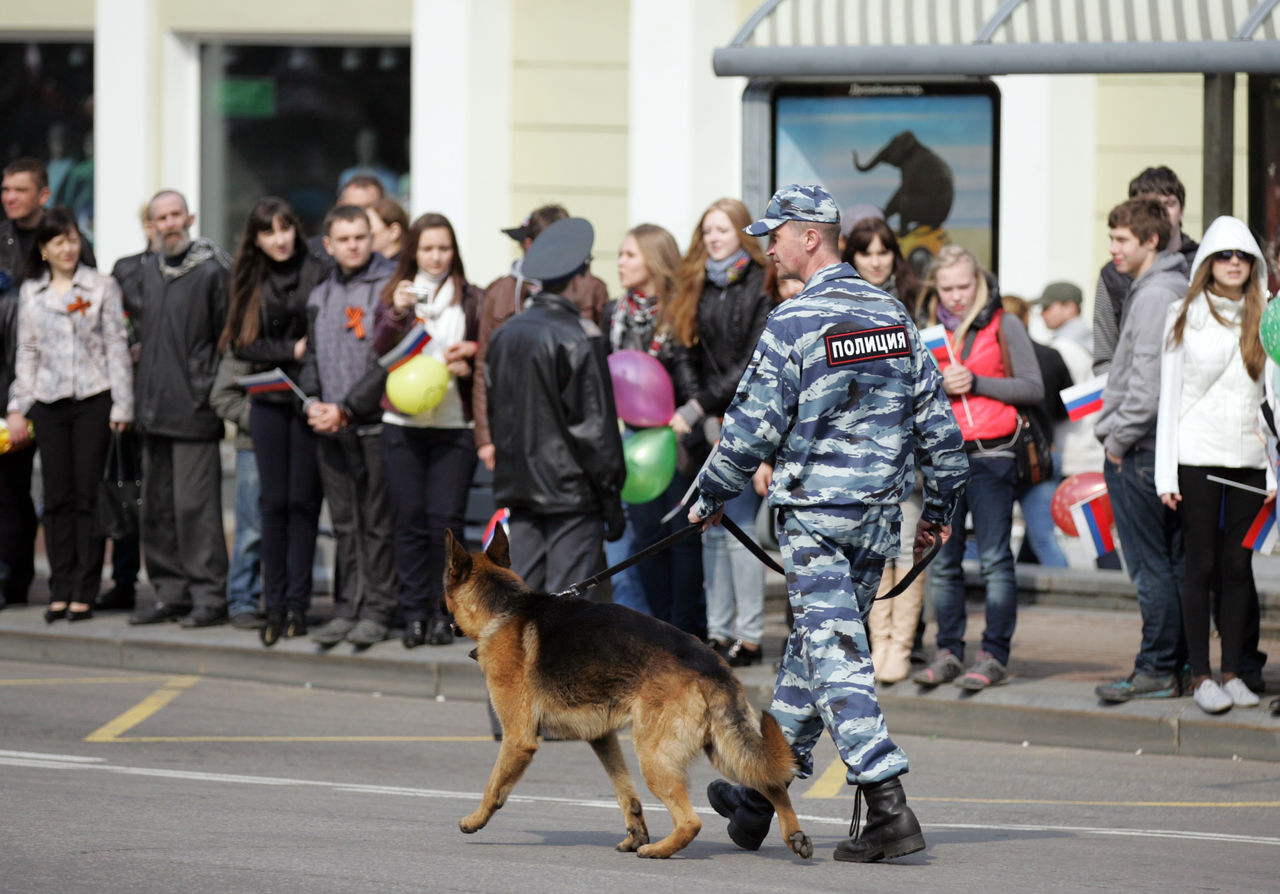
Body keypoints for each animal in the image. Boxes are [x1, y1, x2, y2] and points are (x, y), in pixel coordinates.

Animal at [445, 525, 814, 860]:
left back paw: (658, 850)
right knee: (771, 783)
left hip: (654, 756)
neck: (506, 607)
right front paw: (635, 835)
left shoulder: (517, 738)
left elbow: (494, 785)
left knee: (691, 821)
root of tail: (713, 664)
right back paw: (793, 835)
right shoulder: (602, 738)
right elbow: (625, 792)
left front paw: (475, 820)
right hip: (725, 751)